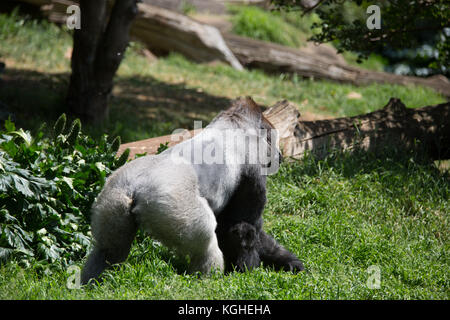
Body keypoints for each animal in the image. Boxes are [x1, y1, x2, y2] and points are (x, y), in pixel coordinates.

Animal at [82, 96, 304, 284]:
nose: (279, 156)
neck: (236, 121)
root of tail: (135, 186)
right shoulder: (253, 167)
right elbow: (246, 224)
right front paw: (248, 271)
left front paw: (287, 261)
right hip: (172, 203)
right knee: (205, 242)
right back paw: (205, 281)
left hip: (113, 196)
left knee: (108, 250)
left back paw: (91, 281)